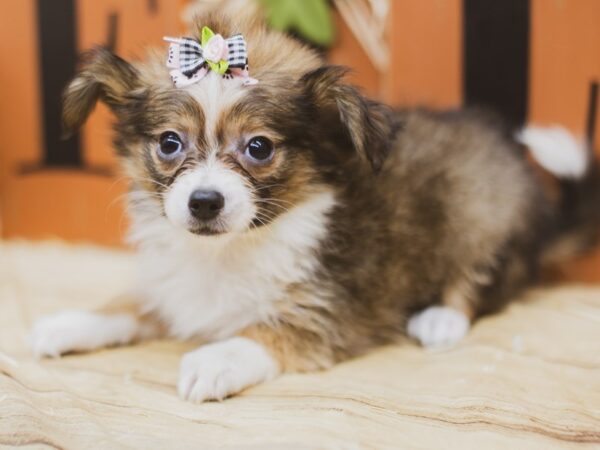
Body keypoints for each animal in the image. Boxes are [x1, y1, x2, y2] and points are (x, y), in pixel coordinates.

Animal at [31, 13, 600, 404]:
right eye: (170, 143)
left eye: (259, 147)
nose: (205, 201)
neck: (226, 253)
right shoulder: (174, 292)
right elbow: (129, 304)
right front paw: (69, 323)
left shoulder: (327, 313)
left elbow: (267, 332)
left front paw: (216, 358)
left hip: (482, 217)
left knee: (483, 281)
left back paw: (441, 319)